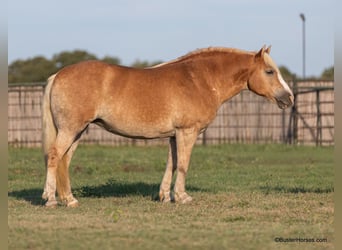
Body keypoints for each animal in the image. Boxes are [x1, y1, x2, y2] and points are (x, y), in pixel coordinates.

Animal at [42, 45, 294, 207]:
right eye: (270, 71)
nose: (289, 98)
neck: (199, 79)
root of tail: (57, 75)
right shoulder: (188, 132)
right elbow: (182, 164)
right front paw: (182, 197)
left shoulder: (175, 135)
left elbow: (171, 164)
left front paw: (165, 196)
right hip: (71, 129)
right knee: (54, 156)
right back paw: (51, 199)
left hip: (77, 131)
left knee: (64, 160)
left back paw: (69, 199)